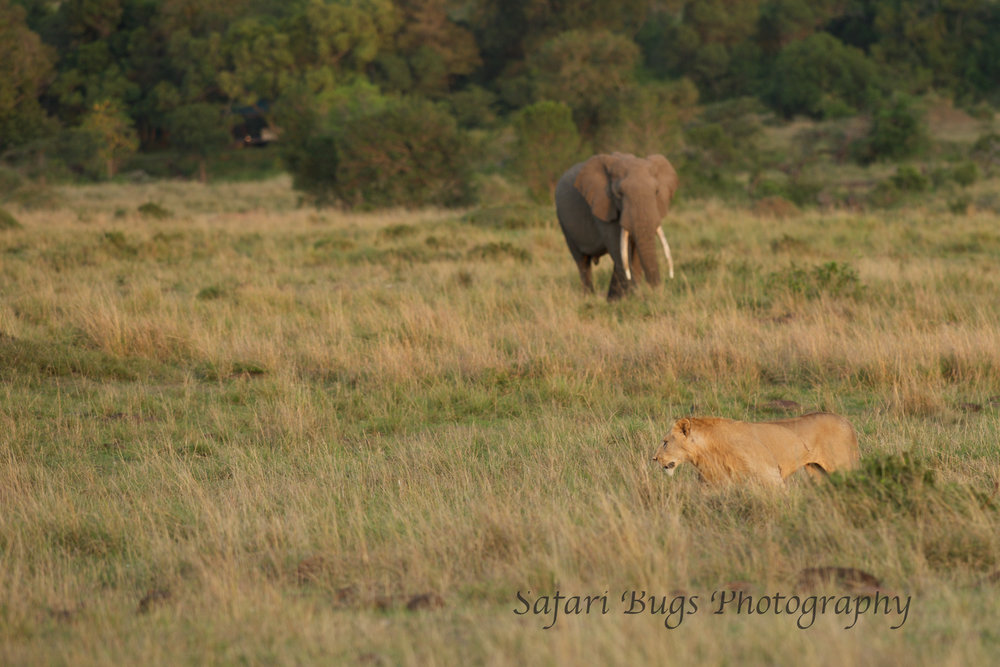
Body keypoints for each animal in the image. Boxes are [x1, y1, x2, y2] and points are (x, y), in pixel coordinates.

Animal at [556, 154, 680, 300]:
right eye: (619, 194)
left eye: (656, 191)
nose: (656, 292)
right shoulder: (602, 206)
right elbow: (619, 249)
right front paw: (632, 297)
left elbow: (633, 252)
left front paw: (629, 297)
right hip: (563, 223)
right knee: (582, 262)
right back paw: (589, 297)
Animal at [648, 412, 860, 486]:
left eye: (665, 442)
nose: (654, 458)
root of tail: (847, 421)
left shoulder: (770, 474)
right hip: (818, 472)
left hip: (842, 466)